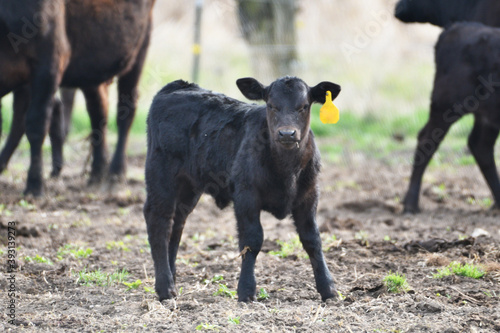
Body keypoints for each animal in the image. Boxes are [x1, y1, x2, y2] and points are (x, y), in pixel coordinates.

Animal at [0, 0, 154, 195]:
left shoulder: (49, 64)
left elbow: (36, 125)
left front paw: (35, 185)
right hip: (92, 67)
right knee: (98, 113)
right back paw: (97, 173)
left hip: (139, 49)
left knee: (125, 111)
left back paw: (116, 173)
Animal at [143, 76, 342, 300]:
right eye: (271, 105)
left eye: (304, 106)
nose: (287, 134)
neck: (286, 170)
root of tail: (177, 85)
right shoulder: (246, 195)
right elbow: (252, 239)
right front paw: (246, 290)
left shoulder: (309, 196)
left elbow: (313, 240)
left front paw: (328, 288)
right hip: (160, 176)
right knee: (159, 221)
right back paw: (165, 287)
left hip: (189, 187)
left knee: (177, 224)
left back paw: (172, 277)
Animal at [404, 22, 500, 213]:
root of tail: (458, 27)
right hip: (446, 105)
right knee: (427, 140)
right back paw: (411, 203)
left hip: (487, 116)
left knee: (481, 145)